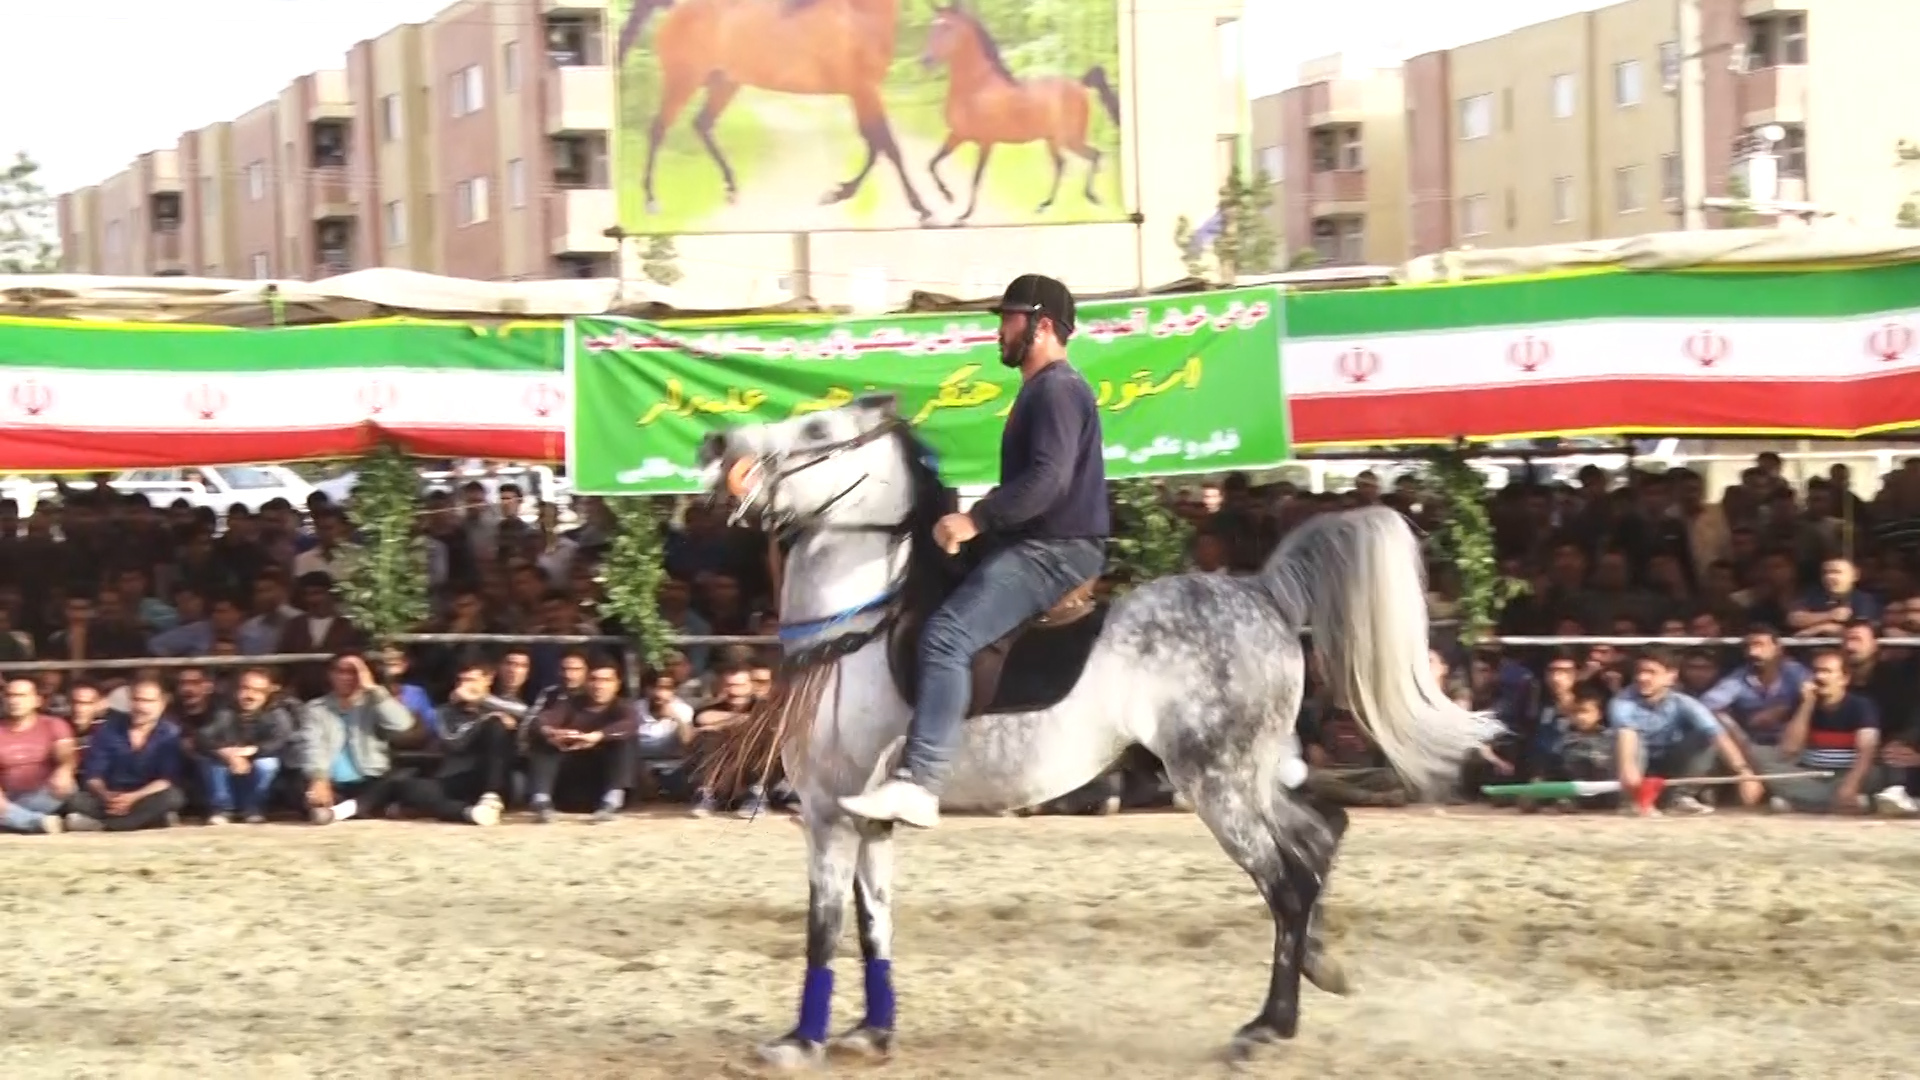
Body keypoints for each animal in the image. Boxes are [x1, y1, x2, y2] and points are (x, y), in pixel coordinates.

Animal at [616, 0, 932, 224]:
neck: (856, 14)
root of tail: (676, 9)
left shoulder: (860, 93)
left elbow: (874, 143)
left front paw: (838, 192)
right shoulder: (865, 89)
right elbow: (887, 146)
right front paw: (922, 208)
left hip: (725, 83)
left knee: (701, 124)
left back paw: (731, 188)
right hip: (683, 81)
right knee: (658, 128)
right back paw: (651, 200)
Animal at [695, 394, 1498, 1068]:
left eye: (816, 431)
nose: (716, 443)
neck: (852, 635)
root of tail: (1262, 592)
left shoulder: (828, 814)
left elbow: (822, 927)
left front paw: (800, 1042)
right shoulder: (869, 821)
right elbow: (873, 922)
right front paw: (872, 1032)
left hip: (1216, 785)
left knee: (1288, 882)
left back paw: (1267, 1026)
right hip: (1251, 775)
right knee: (1321, 832)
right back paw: (1321, 964)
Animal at [919, 3, 1122, 223]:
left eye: (948, 27)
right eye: (932, 27)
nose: (926, 60)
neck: (977, 88)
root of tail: (1079, 84)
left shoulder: (986, 141)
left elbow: (976, 177)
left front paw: (965, 214)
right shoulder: (957, 135)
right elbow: (931, 163)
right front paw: (948, 196)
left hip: (1070, 139)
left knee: (1092, 156)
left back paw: (1090, 198)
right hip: (1053, 140)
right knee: (1063, 164)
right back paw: (1045, 205)